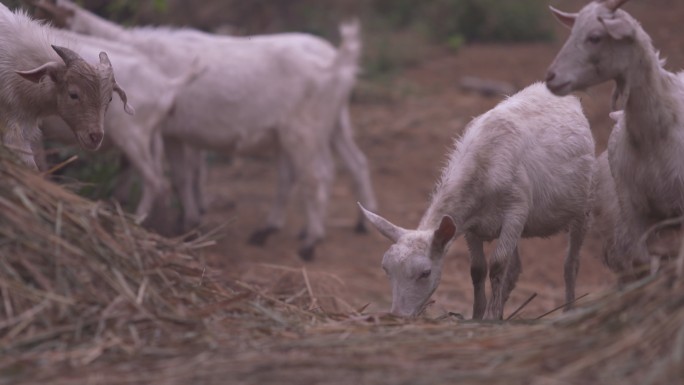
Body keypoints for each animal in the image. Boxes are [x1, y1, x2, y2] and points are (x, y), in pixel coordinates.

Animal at [358, 83, 592, 318]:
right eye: (386, 269)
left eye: (425, 273)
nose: (397, 315)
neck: (482, 167)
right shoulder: (471, 224)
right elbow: (478, 270)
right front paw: (478, 315)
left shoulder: (516, 212)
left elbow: (497, 264)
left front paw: (491, 317)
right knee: (515, 268)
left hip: (582, 209)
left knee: (571, 264)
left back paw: (569, 308)